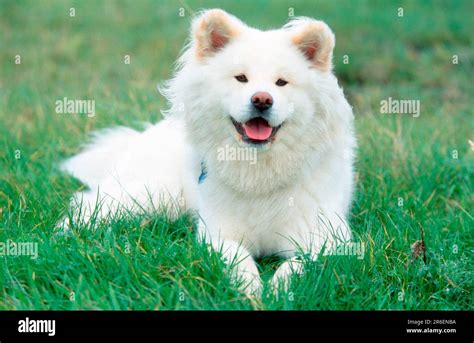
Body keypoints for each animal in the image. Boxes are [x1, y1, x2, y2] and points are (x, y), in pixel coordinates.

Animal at [60, 9, 356, 296]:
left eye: (281, 83)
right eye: (241, 78)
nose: (262, 99)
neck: (258, 170)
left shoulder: (328, 237)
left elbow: (299, 264)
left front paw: (278, 290)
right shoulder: (217, 233)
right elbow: (237, 256)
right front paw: (250, 288)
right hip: (152, 194)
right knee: (88, 203)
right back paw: (68, 235)